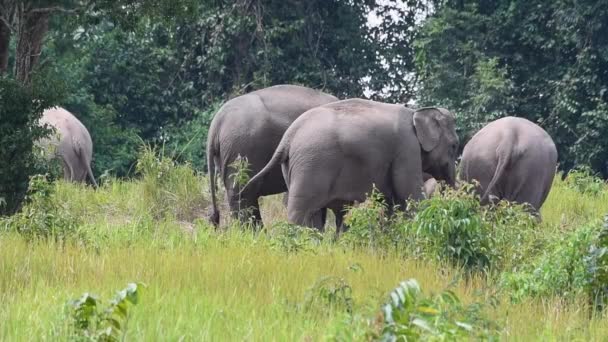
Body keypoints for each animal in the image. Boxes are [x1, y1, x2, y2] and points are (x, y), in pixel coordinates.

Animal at [240, 97, 458, 234]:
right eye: (454, 145)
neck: (416, 112)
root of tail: (289, 136)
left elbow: (390, 201)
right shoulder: (406, 149)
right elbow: (410, 195)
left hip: (294, 167)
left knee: (314, 214)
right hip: (311, 165)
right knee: (301, 210)